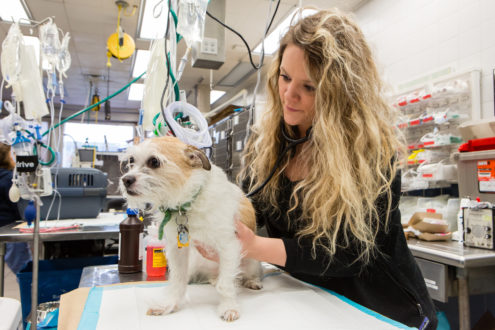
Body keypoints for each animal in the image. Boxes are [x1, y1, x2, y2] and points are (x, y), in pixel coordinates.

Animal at [120, 135, 264, 320]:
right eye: (132, 160)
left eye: (154, 161)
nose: (125, 180)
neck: (187, 205)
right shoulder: (178, 251)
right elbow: (177, 281)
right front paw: (169, 304)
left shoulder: (229, 246)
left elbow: (226, 284)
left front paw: (228, 307)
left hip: (252, 260)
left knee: (241, 275)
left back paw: (252, 281)